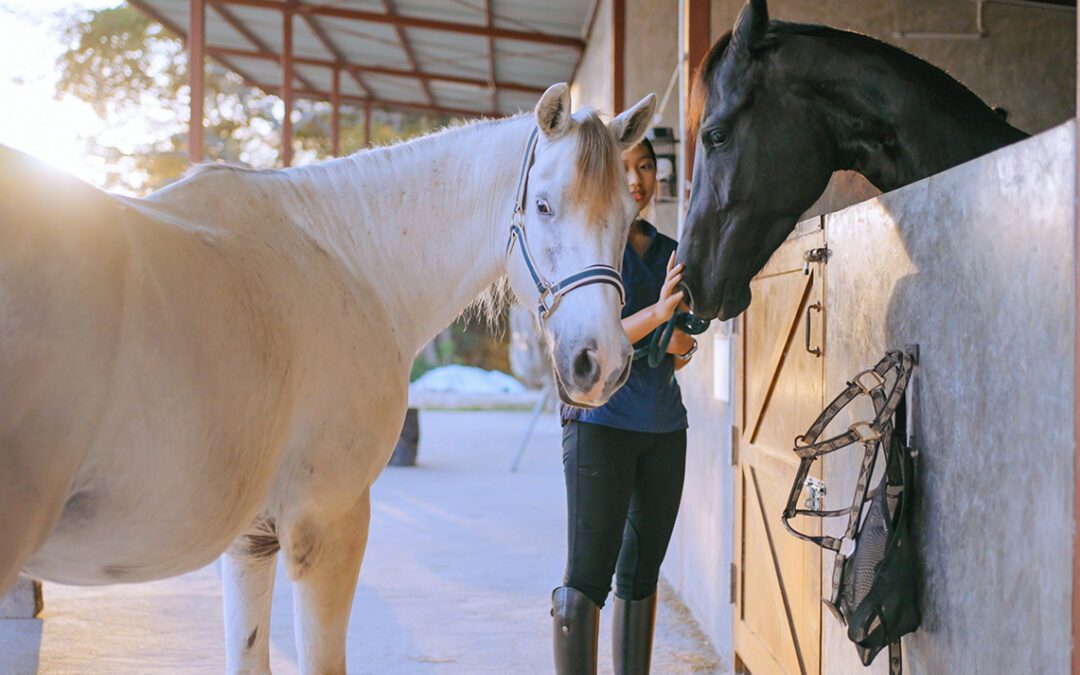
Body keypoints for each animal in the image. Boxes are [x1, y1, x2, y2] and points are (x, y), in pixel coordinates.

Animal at [0, 86, 652, 669]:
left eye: (628, 216)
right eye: (543, 205)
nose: (601, 362)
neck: (347, 261)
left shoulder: (251, 541)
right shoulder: (329, 525)